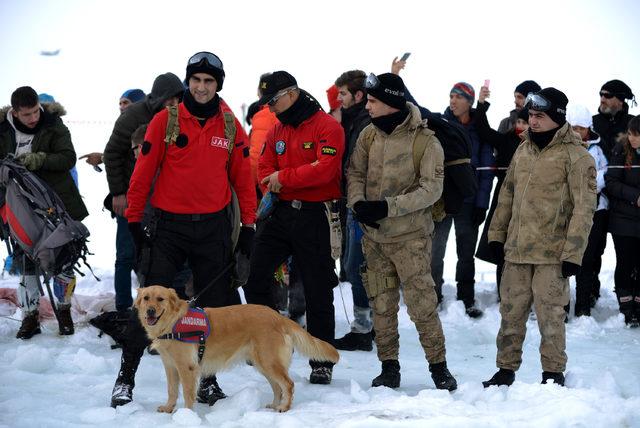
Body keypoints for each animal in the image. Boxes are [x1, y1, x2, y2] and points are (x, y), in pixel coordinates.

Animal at [135, 286, 340, 412]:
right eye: (146, 298)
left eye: (160, 299)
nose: (150, 311)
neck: (172, 323)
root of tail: (278, 316)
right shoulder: (170, 366)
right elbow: (171, 390)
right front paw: (169, 408)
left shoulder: (187, 368)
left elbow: (187, 393)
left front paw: (186, 414)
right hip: (263, 364)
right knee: (277, 387)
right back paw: (275, 405)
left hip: (269, 361)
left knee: (288, 384)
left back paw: (284, 407)